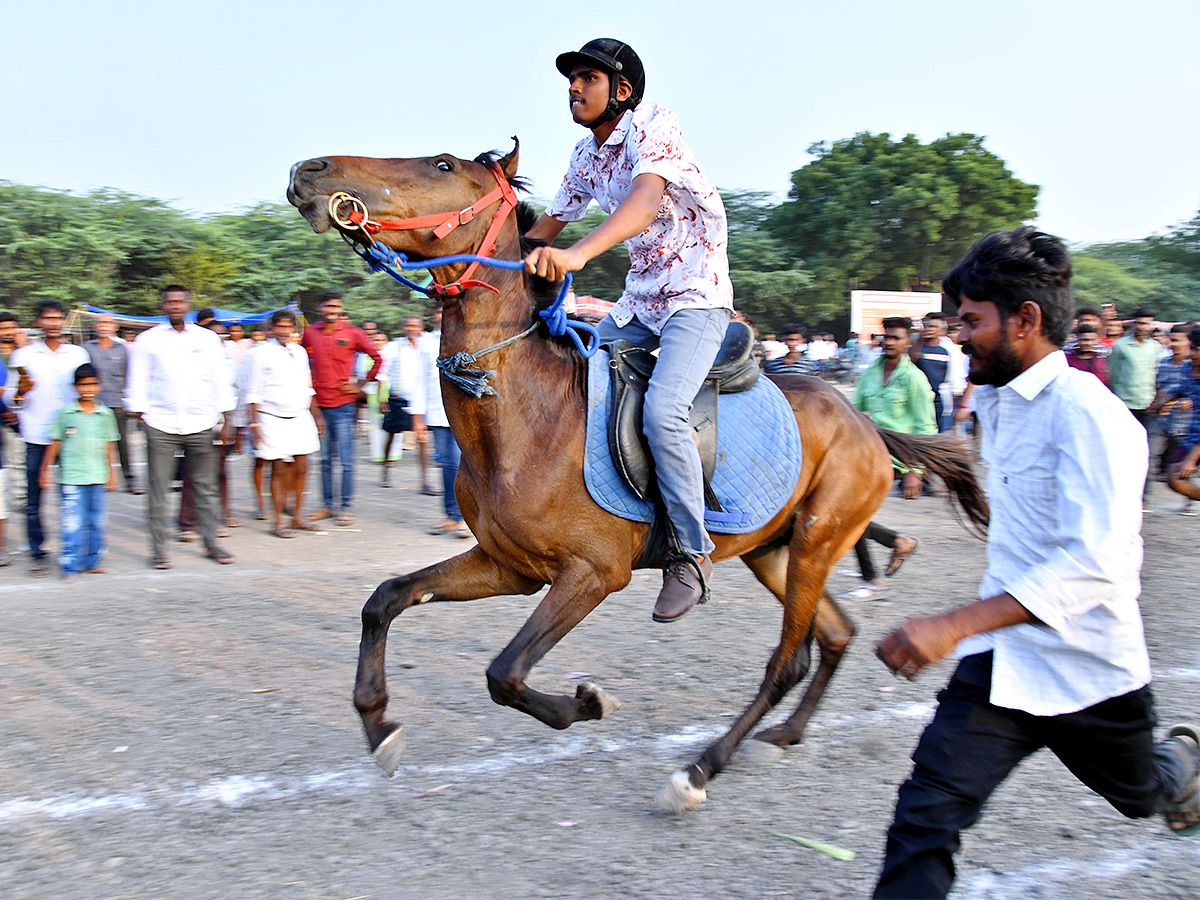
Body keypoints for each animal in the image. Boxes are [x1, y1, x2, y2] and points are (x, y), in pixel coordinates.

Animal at [285, 144, 988, 816]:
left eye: (442, 164)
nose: (310, 171)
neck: (526, 416)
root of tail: (866, 423)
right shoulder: (508, 566)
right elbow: (386, 598)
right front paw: (379, 724)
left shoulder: (593, 573)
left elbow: (504, 673)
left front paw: (588, 704)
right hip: (774, 550)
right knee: (836, 634)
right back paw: (782, 737)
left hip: (818, 540)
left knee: (789, 660)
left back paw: (699, 769)